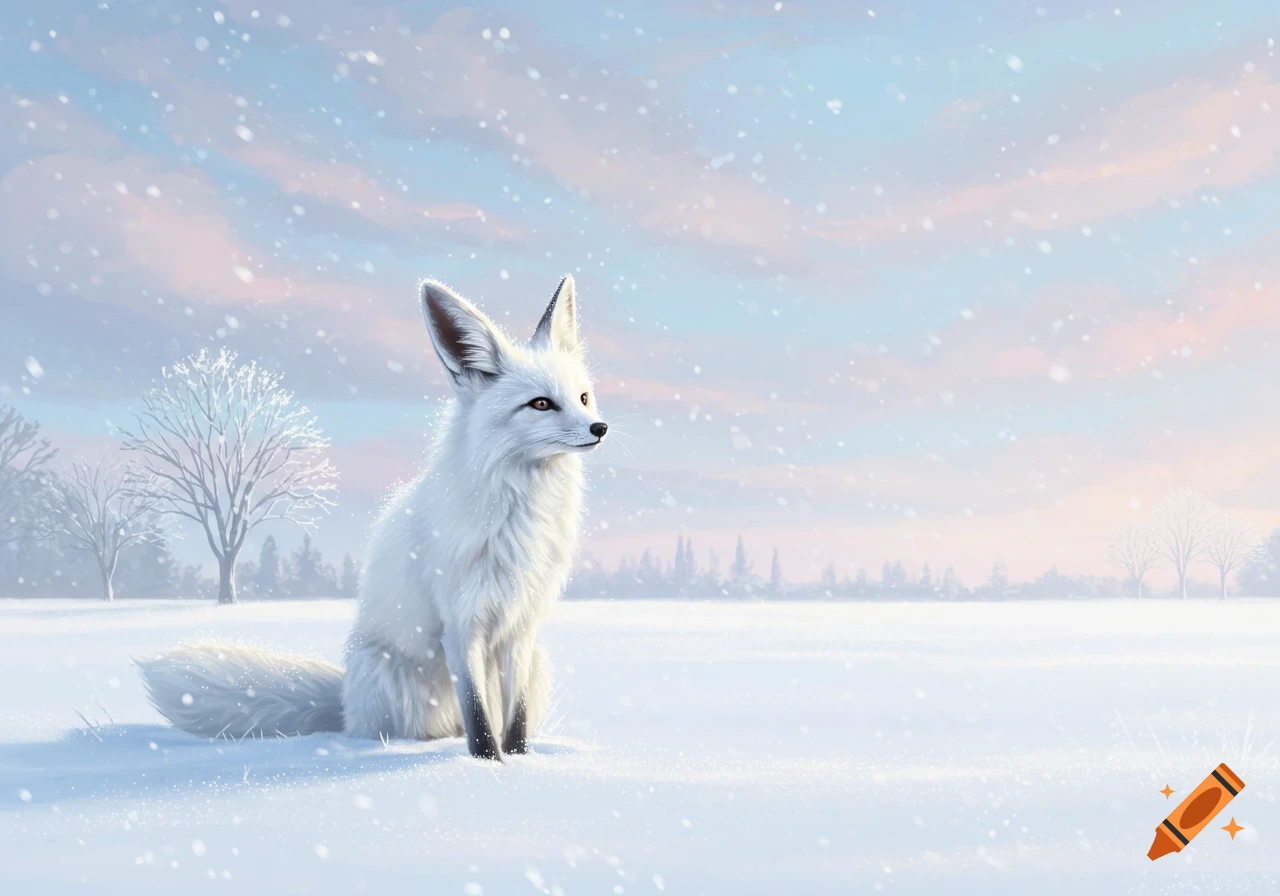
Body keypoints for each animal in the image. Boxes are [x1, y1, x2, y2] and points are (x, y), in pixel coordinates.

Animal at [137, 275, 606, 760]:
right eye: (541, 404)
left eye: (583, 398)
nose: (600, 428)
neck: (519, 516)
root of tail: (345, 705)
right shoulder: (460, 625)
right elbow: (479, 720)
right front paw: (484, 765)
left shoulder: (521, 627)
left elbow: (515, 722)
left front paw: (517, 764)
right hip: (388, 677)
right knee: (409, 730)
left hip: (537, 662)